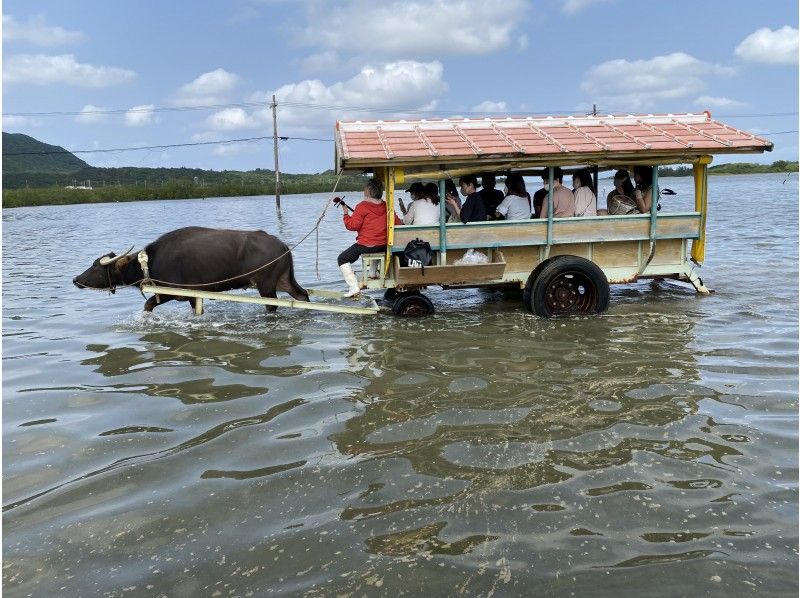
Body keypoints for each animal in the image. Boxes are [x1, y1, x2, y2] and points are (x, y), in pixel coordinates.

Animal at [73, 227, 310, 314]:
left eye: (95, 266)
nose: (75, 279)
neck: (150, 262)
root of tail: (282, 246)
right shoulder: (192, 296)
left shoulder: (172, 292)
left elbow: (148, 304)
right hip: (283, 281)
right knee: (302, 295)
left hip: (266, 286)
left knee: (272, 306)